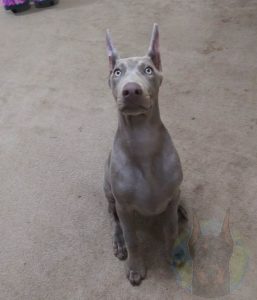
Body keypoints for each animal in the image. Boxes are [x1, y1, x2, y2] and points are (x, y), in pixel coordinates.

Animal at [103, 24, 186, 286]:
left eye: (148, 70)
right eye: (117, 72)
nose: (131, 90)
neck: (143, 142)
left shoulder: (170, 195)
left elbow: (171, 229)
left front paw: (174, 253)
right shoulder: (124, 206)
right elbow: (132, 238)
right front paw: (135, 267)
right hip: (108, 189)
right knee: (113, 217)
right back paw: (118, 242)